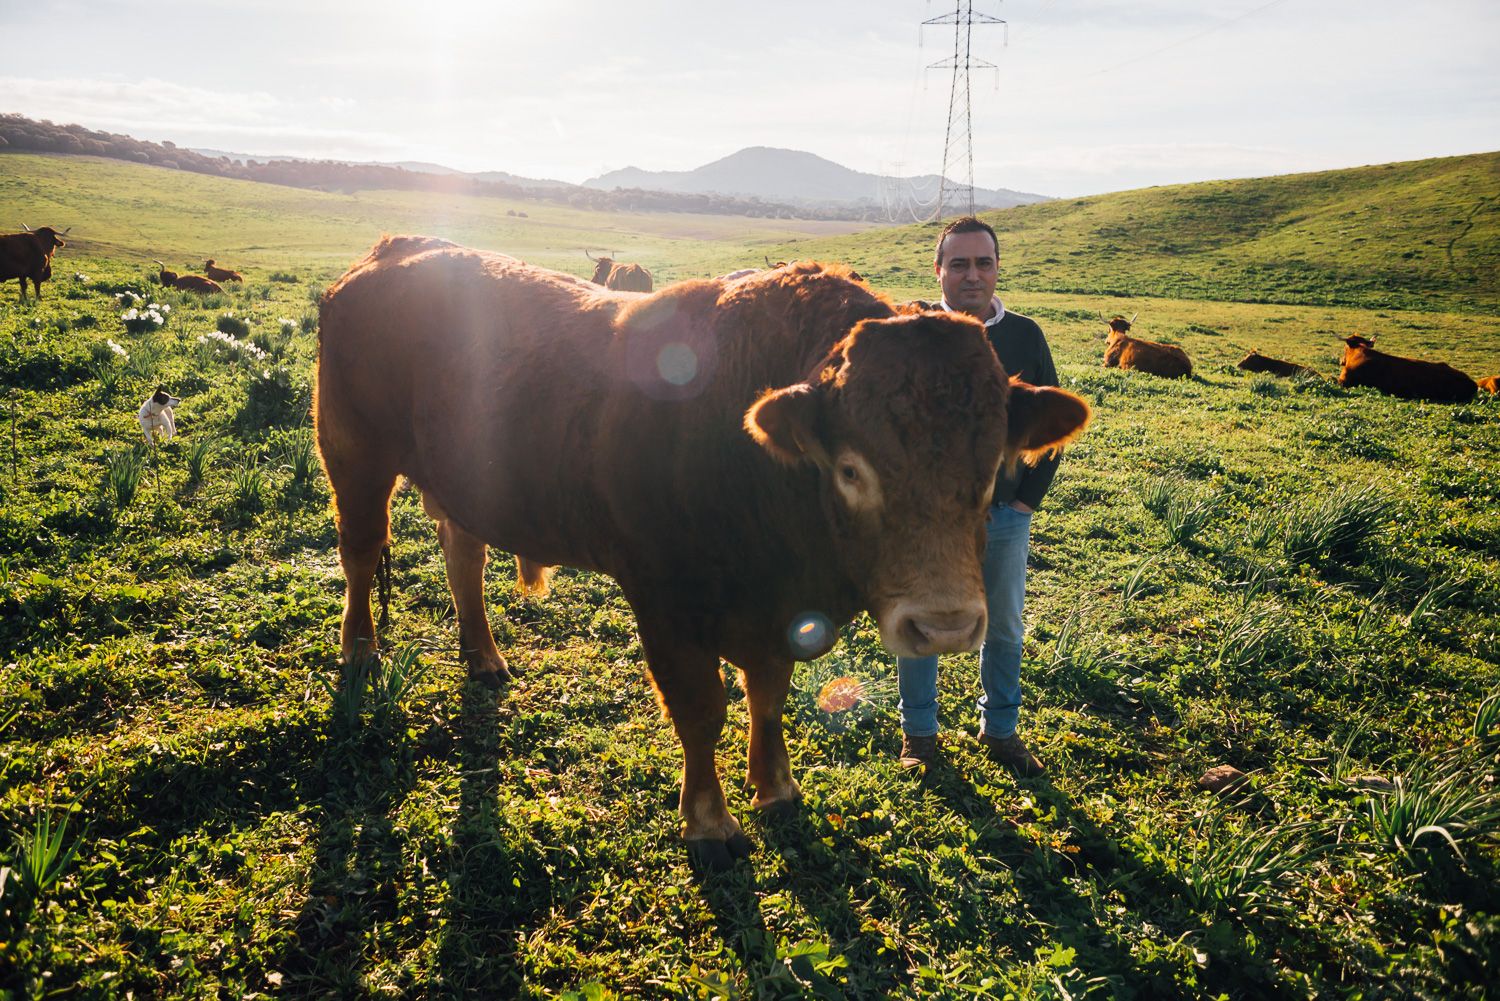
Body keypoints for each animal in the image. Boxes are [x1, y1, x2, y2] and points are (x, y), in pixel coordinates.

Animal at [316, 237, 1090, 869]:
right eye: (850, 469)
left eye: (992, 468)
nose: (945, 625)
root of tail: (389, 254)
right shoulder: (665, 603)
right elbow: (701, 709)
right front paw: (709, 822)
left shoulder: (778, 613)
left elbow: (768, 696)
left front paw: (776, 787)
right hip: (355, 457)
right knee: (360, 553)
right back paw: (359, 649)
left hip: (461, 480)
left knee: (463, 553)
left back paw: (483, 655)